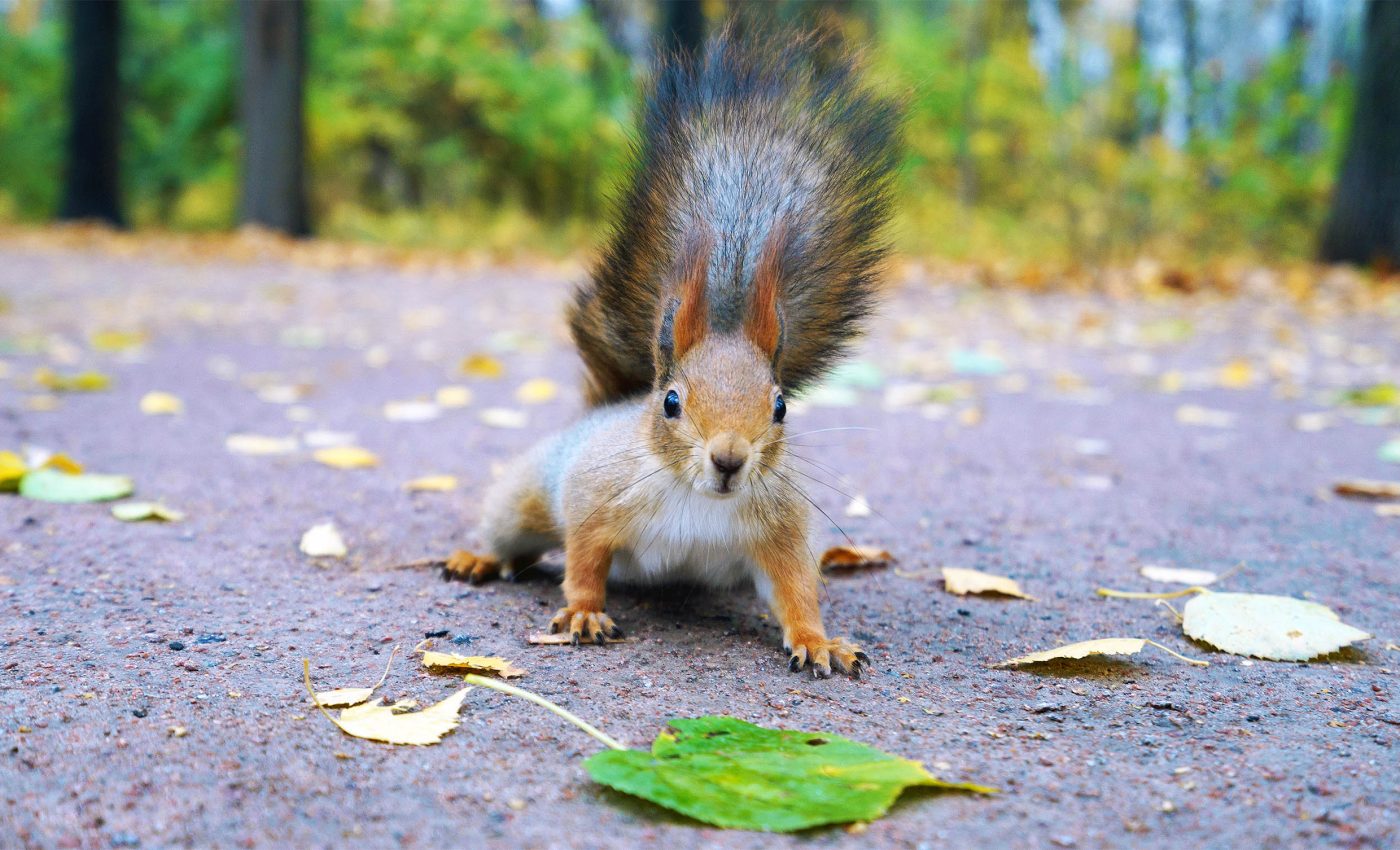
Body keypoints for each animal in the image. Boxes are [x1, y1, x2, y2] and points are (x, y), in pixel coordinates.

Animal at [444, 29, 900, 679]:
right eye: (671, 402)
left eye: (781, 406)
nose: (729, 459)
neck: (697, 497)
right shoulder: (596, 498)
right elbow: (584, 558)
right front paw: (584, 612)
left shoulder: (781, 533)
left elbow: (795, 590)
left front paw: (818, 641)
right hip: (524, 498)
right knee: (509, 536)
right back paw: (478, 558)